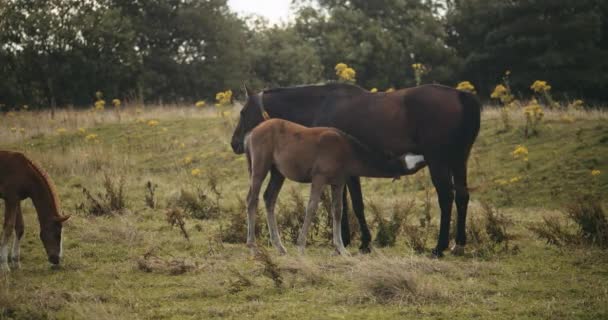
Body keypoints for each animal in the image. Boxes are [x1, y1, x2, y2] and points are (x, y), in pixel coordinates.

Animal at [230, 83, 482, 258]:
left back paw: (439, 247)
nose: (235, 144)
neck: (321, 103)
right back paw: (459, 244)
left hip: (438, 161)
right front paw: (351, 241)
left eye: (243, 112)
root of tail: (462, 96)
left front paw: (357, 241)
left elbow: (352, 205)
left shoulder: (347, 173)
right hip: (459, 160)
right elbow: (346, 205)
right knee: (462, 196)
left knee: (446, 197)